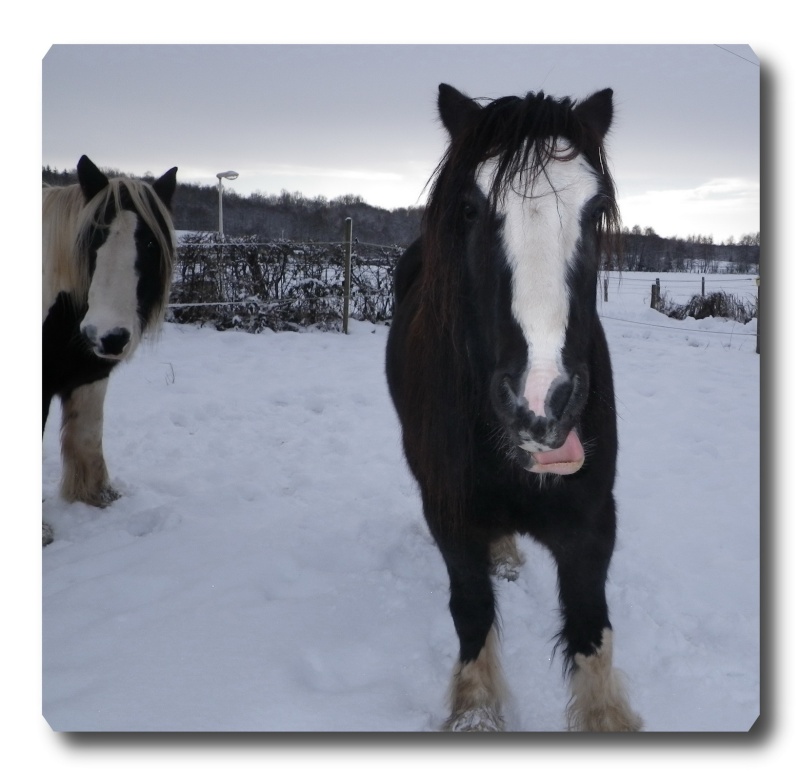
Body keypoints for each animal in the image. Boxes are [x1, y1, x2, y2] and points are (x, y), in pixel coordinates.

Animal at [42, 156, 178, 544]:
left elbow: (87, 435)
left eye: (150, 244)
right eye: (93, 238)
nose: (108, 336)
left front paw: (97, 497)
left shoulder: (90, 374)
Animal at [386, 85, 644, 732]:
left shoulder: (592, 520)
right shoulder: (449, 514)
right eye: (471, 208)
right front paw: (475, 712)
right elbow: (472, 610)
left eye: (596, 208)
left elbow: (590, 627)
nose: (541, 401)